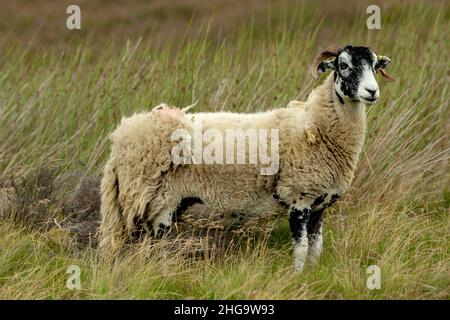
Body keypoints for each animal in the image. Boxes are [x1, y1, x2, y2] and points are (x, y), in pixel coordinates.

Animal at [97, 44, 390, 272]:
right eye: (343, 65)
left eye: (375, 65)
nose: (372, 92)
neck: (314, 125)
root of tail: (122, 136)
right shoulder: (298, 198)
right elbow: (301, 249)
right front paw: (297, 277)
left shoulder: (319, 204)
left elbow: (316, 248)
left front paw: (313, 274)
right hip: (151, 202)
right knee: (143, 248)